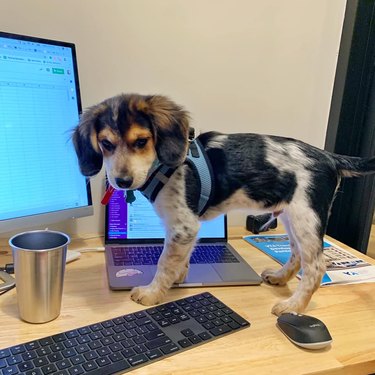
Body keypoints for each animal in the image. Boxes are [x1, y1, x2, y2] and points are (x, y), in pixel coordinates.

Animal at [73, 92, 375, 316]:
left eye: (141, 141)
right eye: (106, 144)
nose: (121, 181)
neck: (163, 167)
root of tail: (329, 157)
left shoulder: (184, 225)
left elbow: (164, 262)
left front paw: (152, 292)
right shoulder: (184, 229)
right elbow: (180, 257)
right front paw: (179, 277)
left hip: (306, 216)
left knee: (315, 268)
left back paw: (293, 306)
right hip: (291, 215)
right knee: (298, 255)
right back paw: (280, 278)